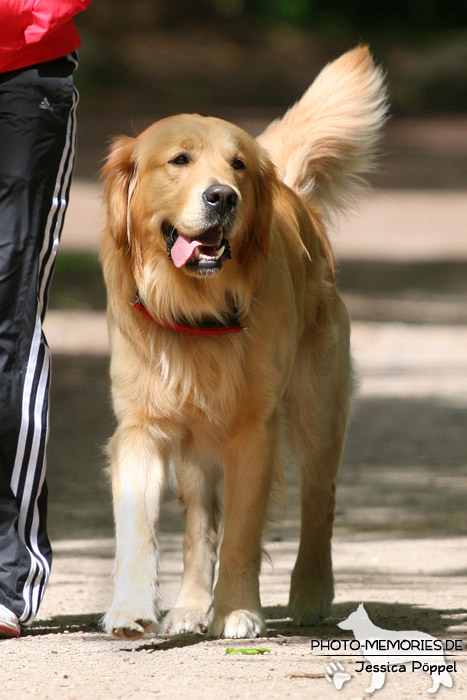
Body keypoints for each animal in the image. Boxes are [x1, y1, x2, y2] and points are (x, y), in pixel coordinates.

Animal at [101, 46, 388, 640]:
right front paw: (132, 607)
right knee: (197, 525)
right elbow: (140, 527)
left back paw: (310, 591)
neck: (195, 308)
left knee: (319, 499)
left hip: (318, 409)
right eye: (179, 160)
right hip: (195, 446)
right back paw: (189, 606)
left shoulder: (254, 429)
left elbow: (241, 533)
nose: (223, 197)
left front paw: (236, 610)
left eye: (237, 165)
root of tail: (296, 196)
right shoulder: (141, 426)